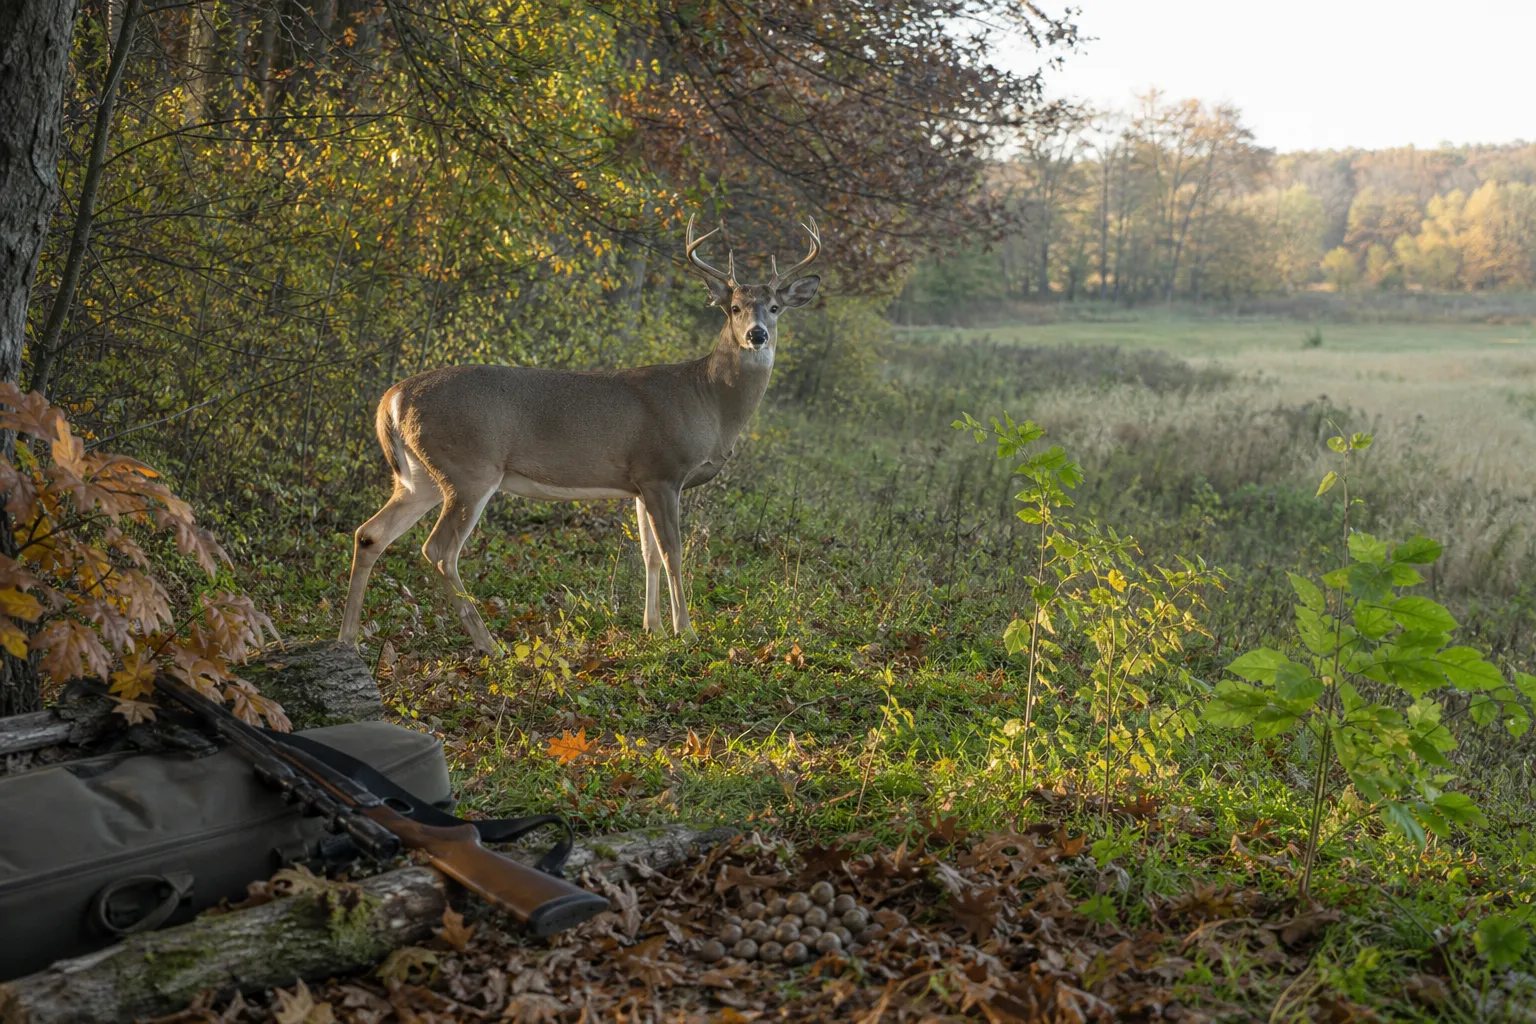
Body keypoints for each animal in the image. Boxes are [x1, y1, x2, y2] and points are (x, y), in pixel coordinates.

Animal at [338, 215, 822, 653]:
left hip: (419, 476)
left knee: (370, 534)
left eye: (774, 308)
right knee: (438, 551)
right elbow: (673, 553)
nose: (757, 335)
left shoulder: (640, 482)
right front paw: (686, 632)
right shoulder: (663, 471)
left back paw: (348, 639)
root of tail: (393, 397)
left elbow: (647, 554)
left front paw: (653, 628)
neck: (708, 399)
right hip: (469, 469)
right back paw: (489, 644)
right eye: (734, 308)